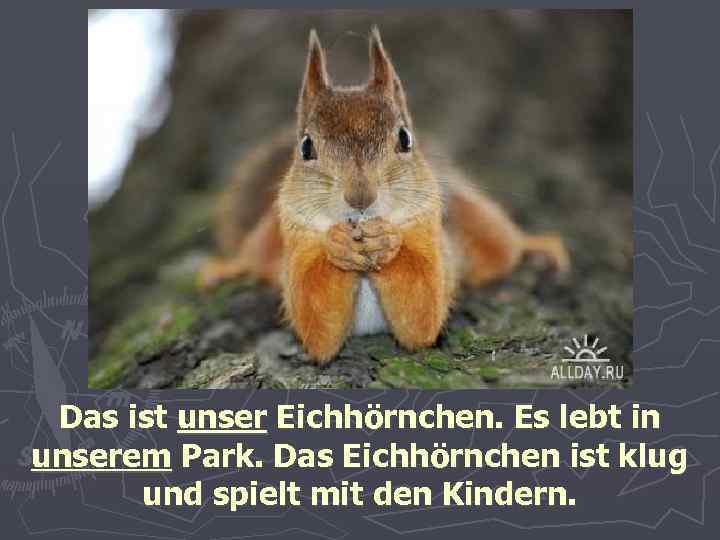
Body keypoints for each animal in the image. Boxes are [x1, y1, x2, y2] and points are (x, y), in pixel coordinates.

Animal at [199, 27, 569, 364]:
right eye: (305, 147)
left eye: (405, 138)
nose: (360, 197)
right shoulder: (297, 241)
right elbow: (316, 325)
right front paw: (337, 245)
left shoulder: (432, 239)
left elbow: (422, 313)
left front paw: (386, 241)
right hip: (267, 237)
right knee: (253, 257)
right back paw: (226, 269)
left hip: (476, 219)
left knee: (504, 247)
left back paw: (538, 244)